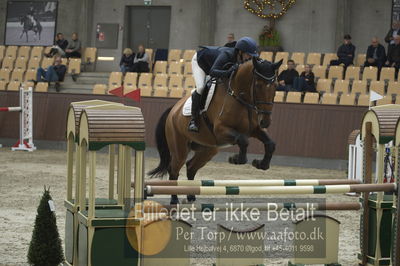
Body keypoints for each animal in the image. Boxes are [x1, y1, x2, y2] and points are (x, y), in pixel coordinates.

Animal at [148, 57, 282, 204]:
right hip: (180, 148)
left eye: (275, 86)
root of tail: (173, 110)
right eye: (258, 85)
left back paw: (191, 196)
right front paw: (235, 159)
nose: (265, 121)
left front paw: (261, 164)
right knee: (174, 170)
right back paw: (174, 199)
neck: (239, 96)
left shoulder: (254, 129)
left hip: (208, 149)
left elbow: (270, 144)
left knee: (190, 167)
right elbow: (243, 141)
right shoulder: (221, 131)